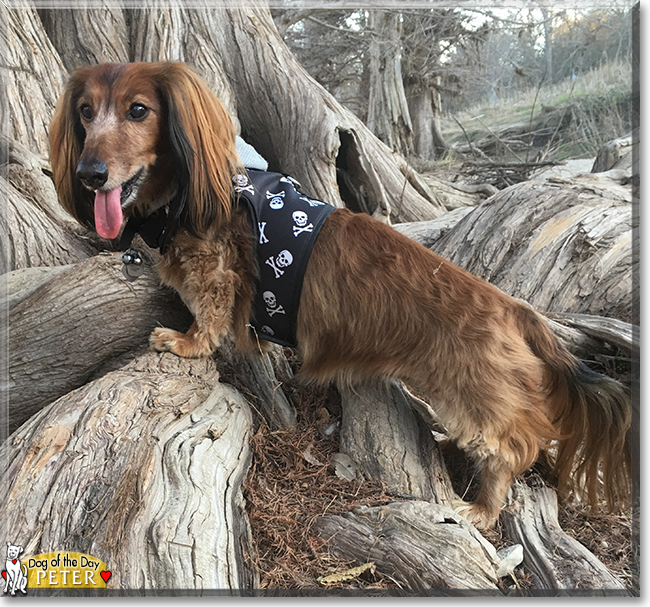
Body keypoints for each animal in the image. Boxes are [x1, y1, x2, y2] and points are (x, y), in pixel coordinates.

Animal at [49, 59, 628, 528]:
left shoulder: (217, 272)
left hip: (475, 400)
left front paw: (185, 340)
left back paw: (483, 507)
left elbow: (209, 316)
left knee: (517, 445)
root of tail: (514, 308)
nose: (89, 173)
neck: (185, 196)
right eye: (85, 113)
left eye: (139, 110)